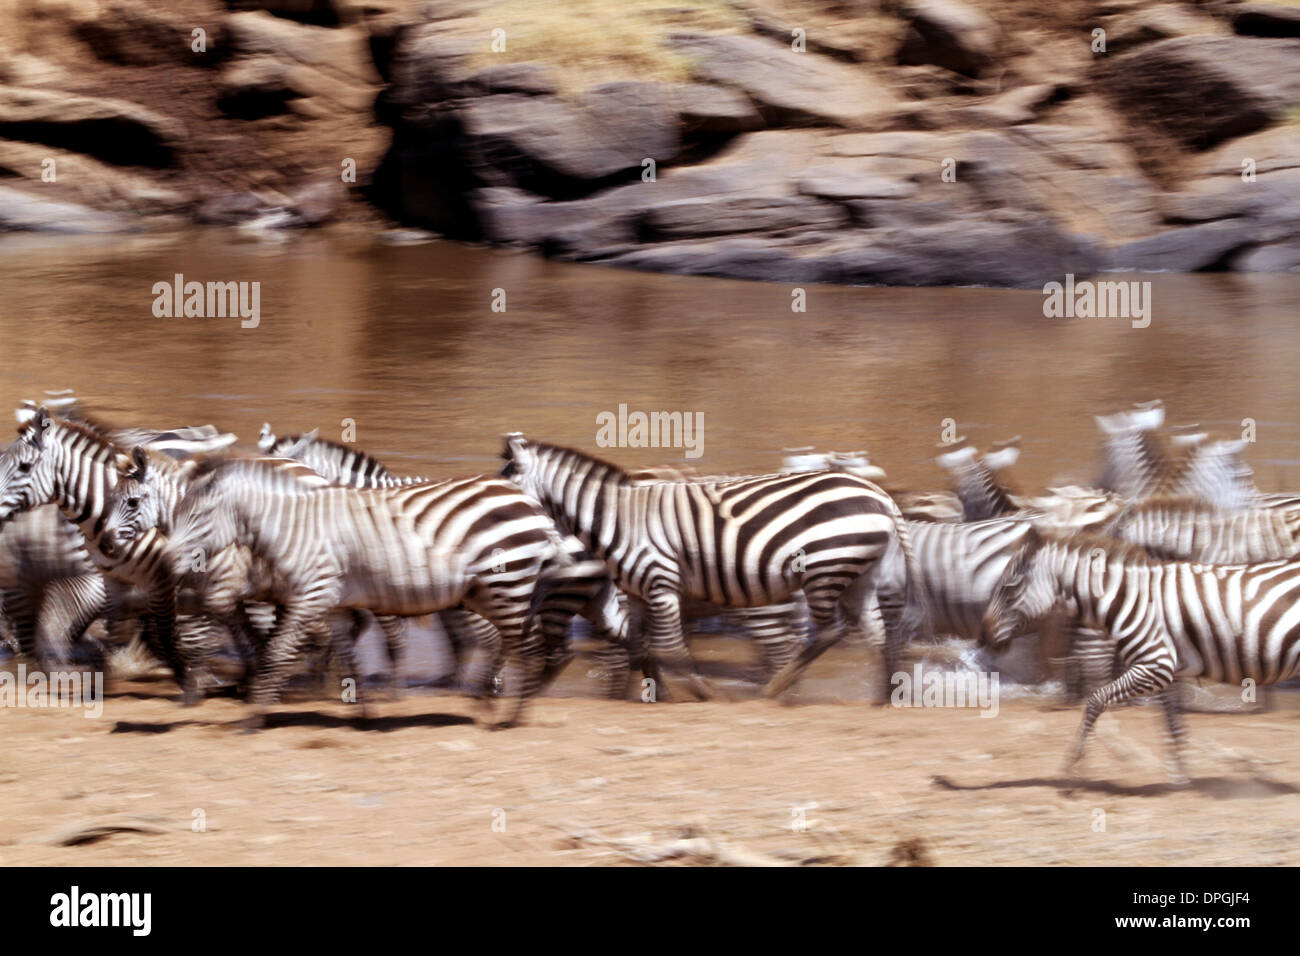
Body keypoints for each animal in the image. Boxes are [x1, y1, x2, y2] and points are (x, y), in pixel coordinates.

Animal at [98, 452, 616, 728]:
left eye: (132, 501)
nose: (103, 544)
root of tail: (533, 504)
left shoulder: (270, 590)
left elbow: (266, 644)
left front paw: (250, 704)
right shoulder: (317, 598)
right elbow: (334, 649)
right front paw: (360, 708)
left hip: (502, 584)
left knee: (522, 645)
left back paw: (508, 712)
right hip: (489, 590)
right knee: (508, 644)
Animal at [493, 437, 925, 697]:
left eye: (506, 481)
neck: (616, 518)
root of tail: (879, 495)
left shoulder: (661, 584)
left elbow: (672, 648)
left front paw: (702, 694)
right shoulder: (637, 592)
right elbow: (640, 646)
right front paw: (655, 694)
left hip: (825, 568)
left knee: (829, 631)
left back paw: (776, 690)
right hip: (859, 573)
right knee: (876, 633)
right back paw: (880, 699)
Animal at [977, 530, 1300, 785]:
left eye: (1009, 588)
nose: (982, 638)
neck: (1131, 601)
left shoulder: (1154, 666)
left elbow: (1095, 701)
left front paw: (1074, 768)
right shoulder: (1170, 673)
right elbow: (1173, 724)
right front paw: (1180, 779)